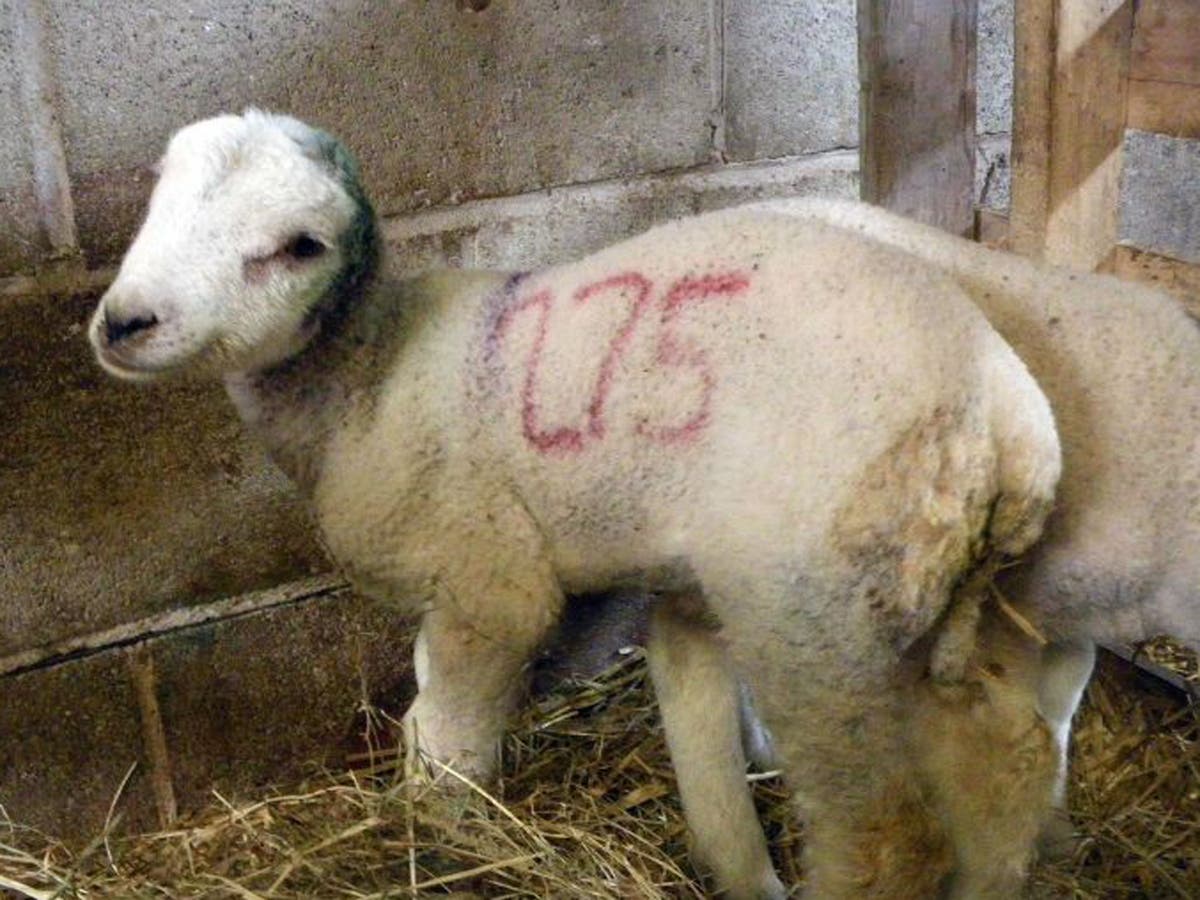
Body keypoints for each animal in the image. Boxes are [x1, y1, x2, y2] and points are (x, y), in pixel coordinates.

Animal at [87, 110, 1062, 899]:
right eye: (156, 196)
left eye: (299, 246)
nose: (124, 323)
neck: (369, 374)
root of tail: (1010, 421)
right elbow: (427, 702)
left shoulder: (488, 584)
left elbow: (448, 742)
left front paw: (445, 839)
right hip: (935, 596)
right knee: (1009, 762)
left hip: (813, 612)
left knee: (884, 838)